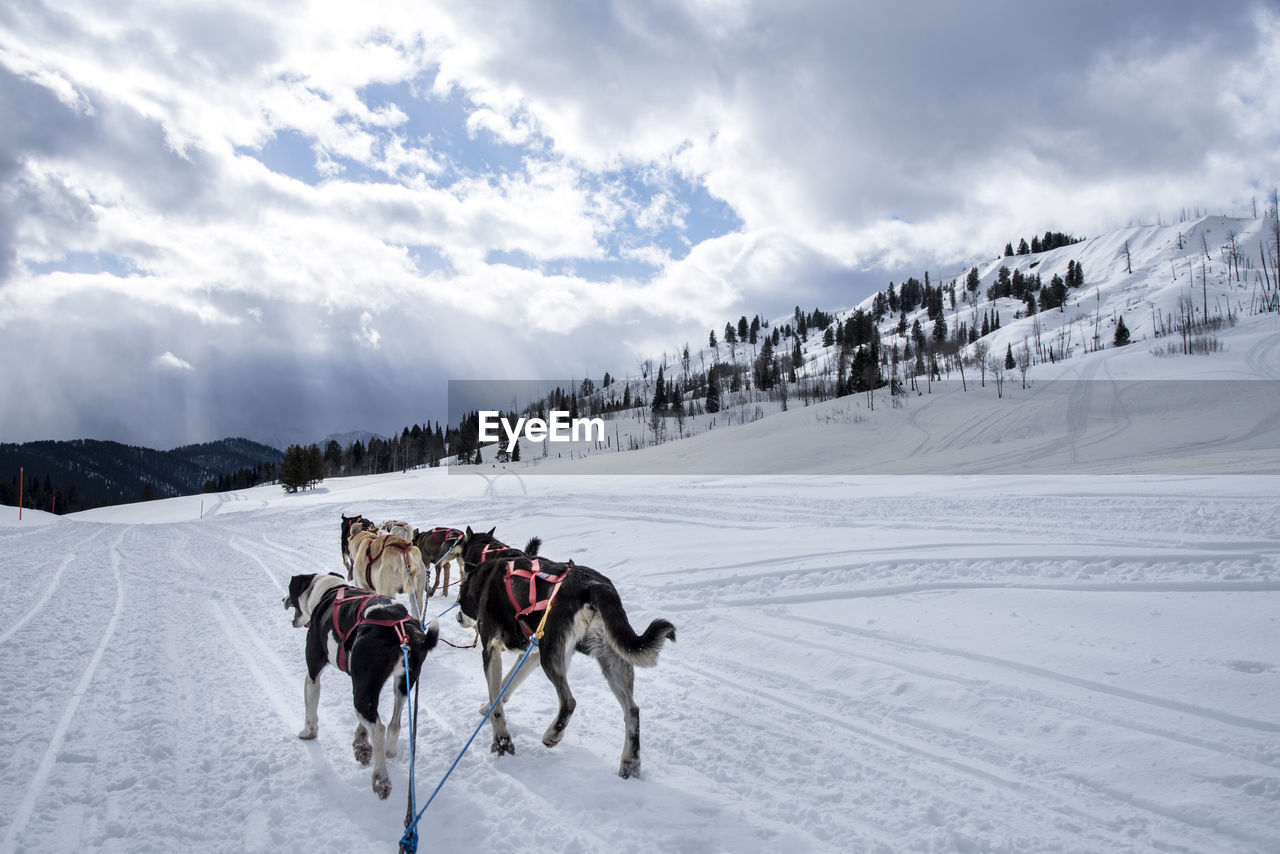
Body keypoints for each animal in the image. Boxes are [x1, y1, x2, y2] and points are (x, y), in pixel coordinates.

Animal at [280, 573, 440, 804]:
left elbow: (310, 709)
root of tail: (400, 627)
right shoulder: (364, 684)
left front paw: (308, 732)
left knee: (379, 728)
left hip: (363, 690)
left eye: (290, 593)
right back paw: (389, 750)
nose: (283, 599)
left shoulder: (314, 673)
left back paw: (381, 778)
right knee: (393, 723)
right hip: (401, 684)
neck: (327, 591)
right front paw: (361, 743)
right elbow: (365, 726)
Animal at [455, 537, 675, 778]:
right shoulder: (531, 654)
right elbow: (504, 686)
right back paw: (630, 761)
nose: (457, 617)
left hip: (551, 655)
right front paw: (488, 707)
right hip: (610, 658)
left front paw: (501, 739)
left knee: (569, 701)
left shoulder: (492, 649)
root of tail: (594, 585)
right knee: (632, 710)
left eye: (459, 600)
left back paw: (552, 734)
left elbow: (497, 695)